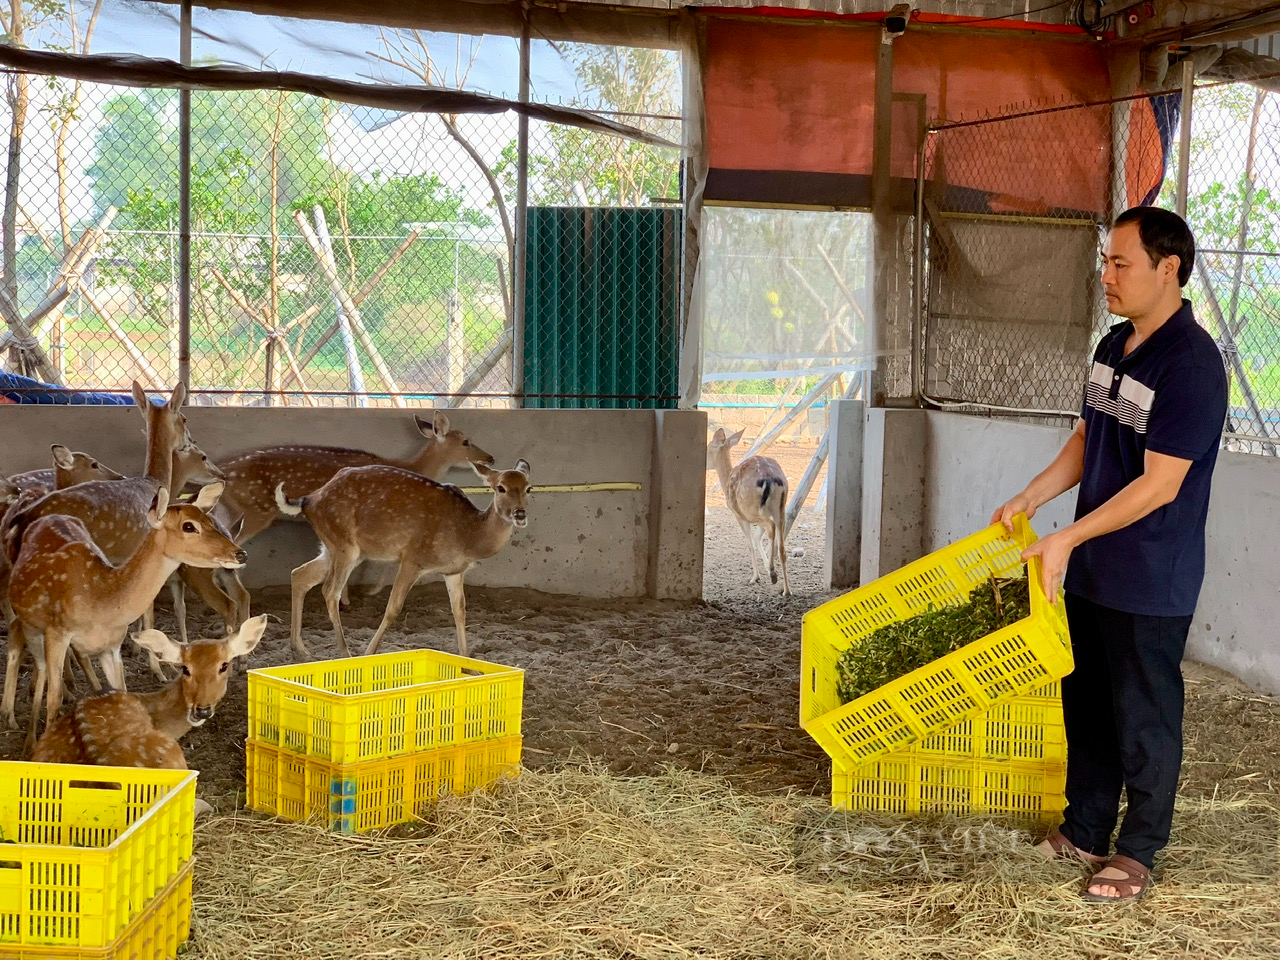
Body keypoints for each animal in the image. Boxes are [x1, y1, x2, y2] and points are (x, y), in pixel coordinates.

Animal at [5, 481, 245, 737]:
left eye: (210, 520)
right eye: (189, 526)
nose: (240, 553)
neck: (101, 602)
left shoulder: (112, 645)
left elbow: (122, 691)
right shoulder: (57, 633)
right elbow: (53, 700)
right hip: (30, 621)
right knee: (21, 641)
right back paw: (14, 720)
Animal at [277, 460, 532, 660]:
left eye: (528, 488)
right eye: (500, 488)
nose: (520, 514)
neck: (467, 536)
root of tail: (308, 500)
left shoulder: (453, 570)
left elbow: (459, 610)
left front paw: (467, 664)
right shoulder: (412, 558)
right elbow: (393, 608)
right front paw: (368, 653)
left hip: (339, 549)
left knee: (299, 574)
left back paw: (300, 648)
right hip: (344, 545)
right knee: (330, 591)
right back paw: (345, 652)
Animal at [711, 430, 788, 599]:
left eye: (710, 445)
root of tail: (771, 480)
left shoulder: (740, 516)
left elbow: (750, 544)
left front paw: (755, 577)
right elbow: (757, 538)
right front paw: (765, 569)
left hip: (753, 510)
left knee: (770, 527)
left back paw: (773, 575)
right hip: (781, 510)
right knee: (782, 547)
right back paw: (786, 590)